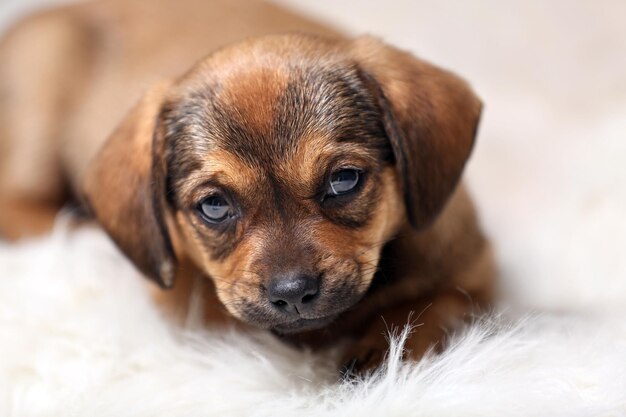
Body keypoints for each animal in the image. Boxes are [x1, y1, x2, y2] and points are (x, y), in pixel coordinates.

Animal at [1, 0, 498, 370]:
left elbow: (436, 306)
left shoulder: (478, 275)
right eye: (214, 206)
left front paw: (388, 348)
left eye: (343, 180)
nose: (292, 292)